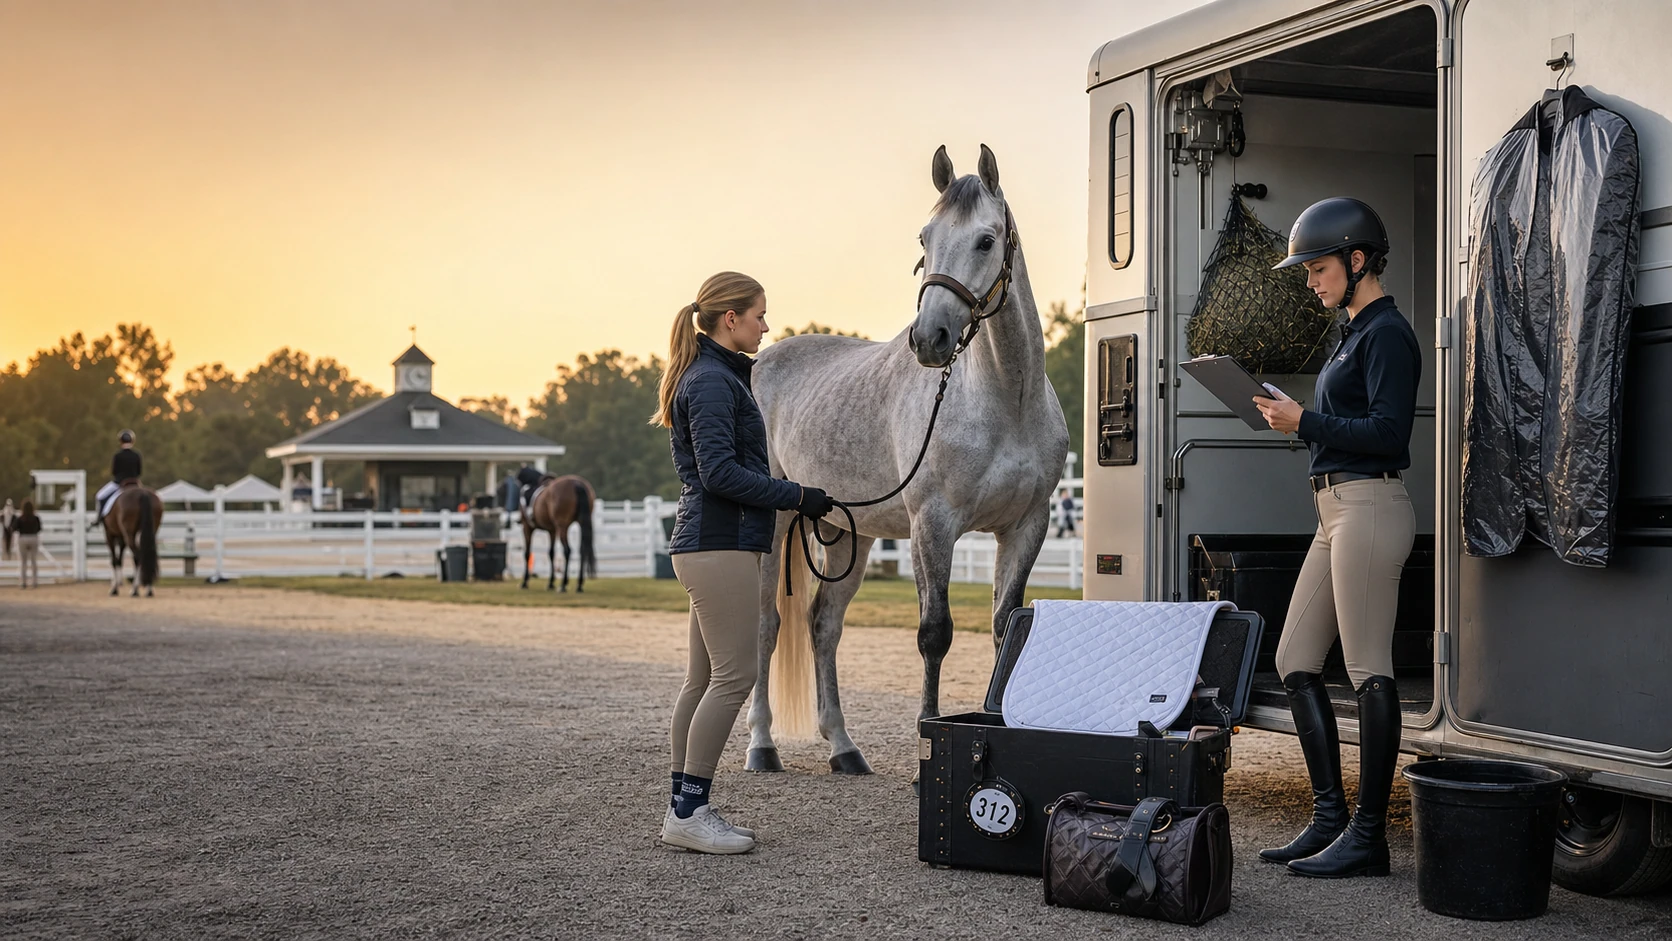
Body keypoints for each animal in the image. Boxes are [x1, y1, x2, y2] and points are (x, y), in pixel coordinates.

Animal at [745, 145, 1069, 774]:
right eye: (925, 238)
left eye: (986, 240)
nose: (929, 339)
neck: (1005, 400)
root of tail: (757, 364)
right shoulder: (932, 526)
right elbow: (934, 633)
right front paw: (928, 745)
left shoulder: (1027, 525)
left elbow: (1005, 629)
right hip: (773, 525)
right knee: (767, 626)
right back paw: (762, 746)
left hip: (850, 534)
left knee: (823, 624)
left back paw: (843, 748)